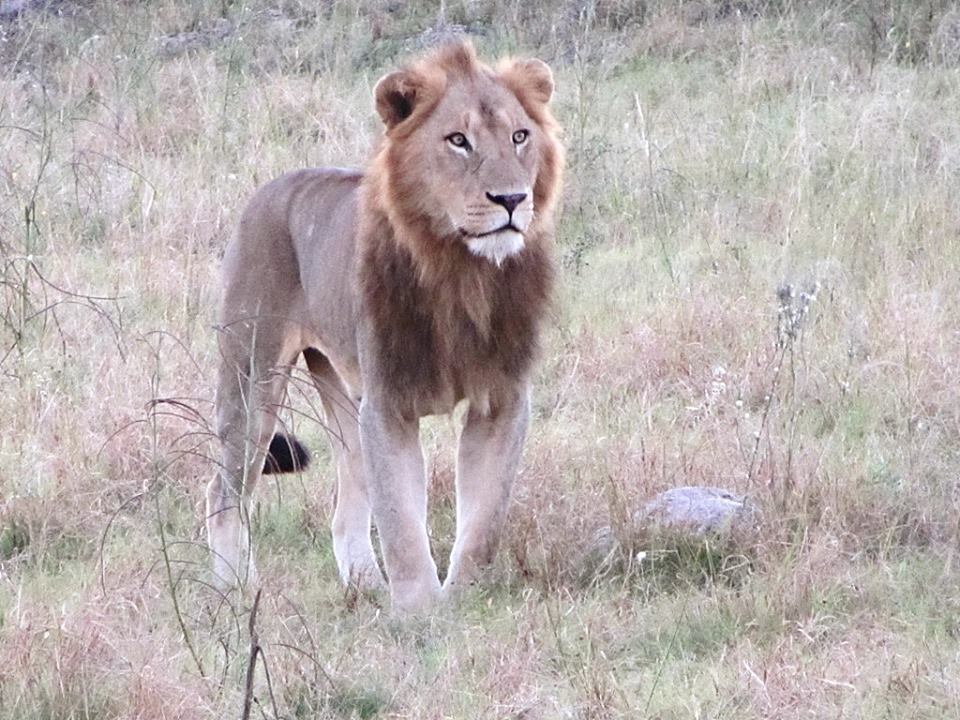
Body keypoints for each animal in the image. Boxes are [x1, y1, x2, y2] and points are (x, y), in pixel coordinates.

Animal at [206, 42, 563, 613]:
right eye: (458, 140)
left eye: (519, 136)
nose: (510, 200)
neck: (461, 272)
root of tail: (271, 187)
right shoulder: (390, 403)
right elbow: (401, 520)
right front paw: (419, 612)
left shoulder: (502, 399)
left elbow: (484, 517)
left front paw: (465, 601)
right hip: (252, 378)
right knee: (223, 493)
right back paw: (235, 594)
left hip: (343, 396)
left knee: (345, 504)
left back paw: (364, 588)